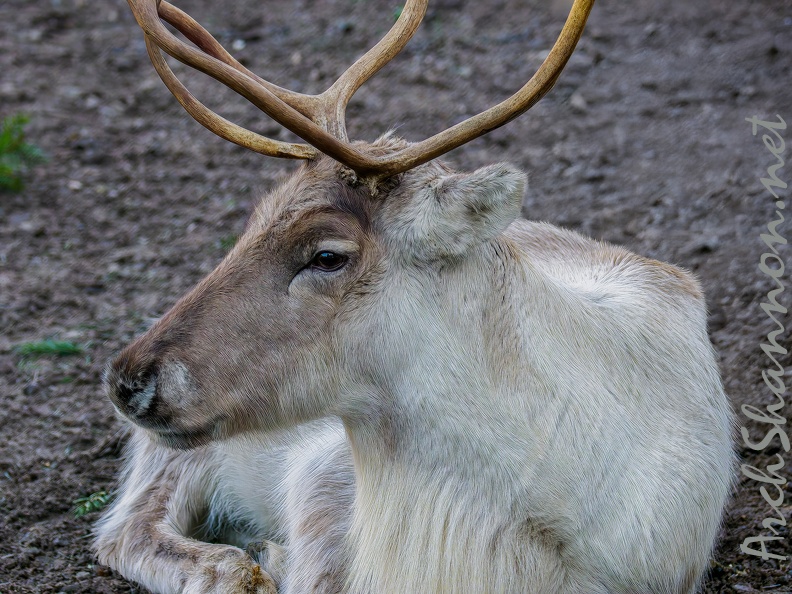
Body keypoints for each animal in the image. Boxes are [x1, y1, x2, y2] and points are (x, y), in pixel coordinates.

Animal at [93, 0, 735, 592]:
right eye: (252, 220)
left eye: (327, 255)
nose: (129, 378)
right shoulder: (323, 478)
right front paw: (270, 558)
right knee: (128, 529)